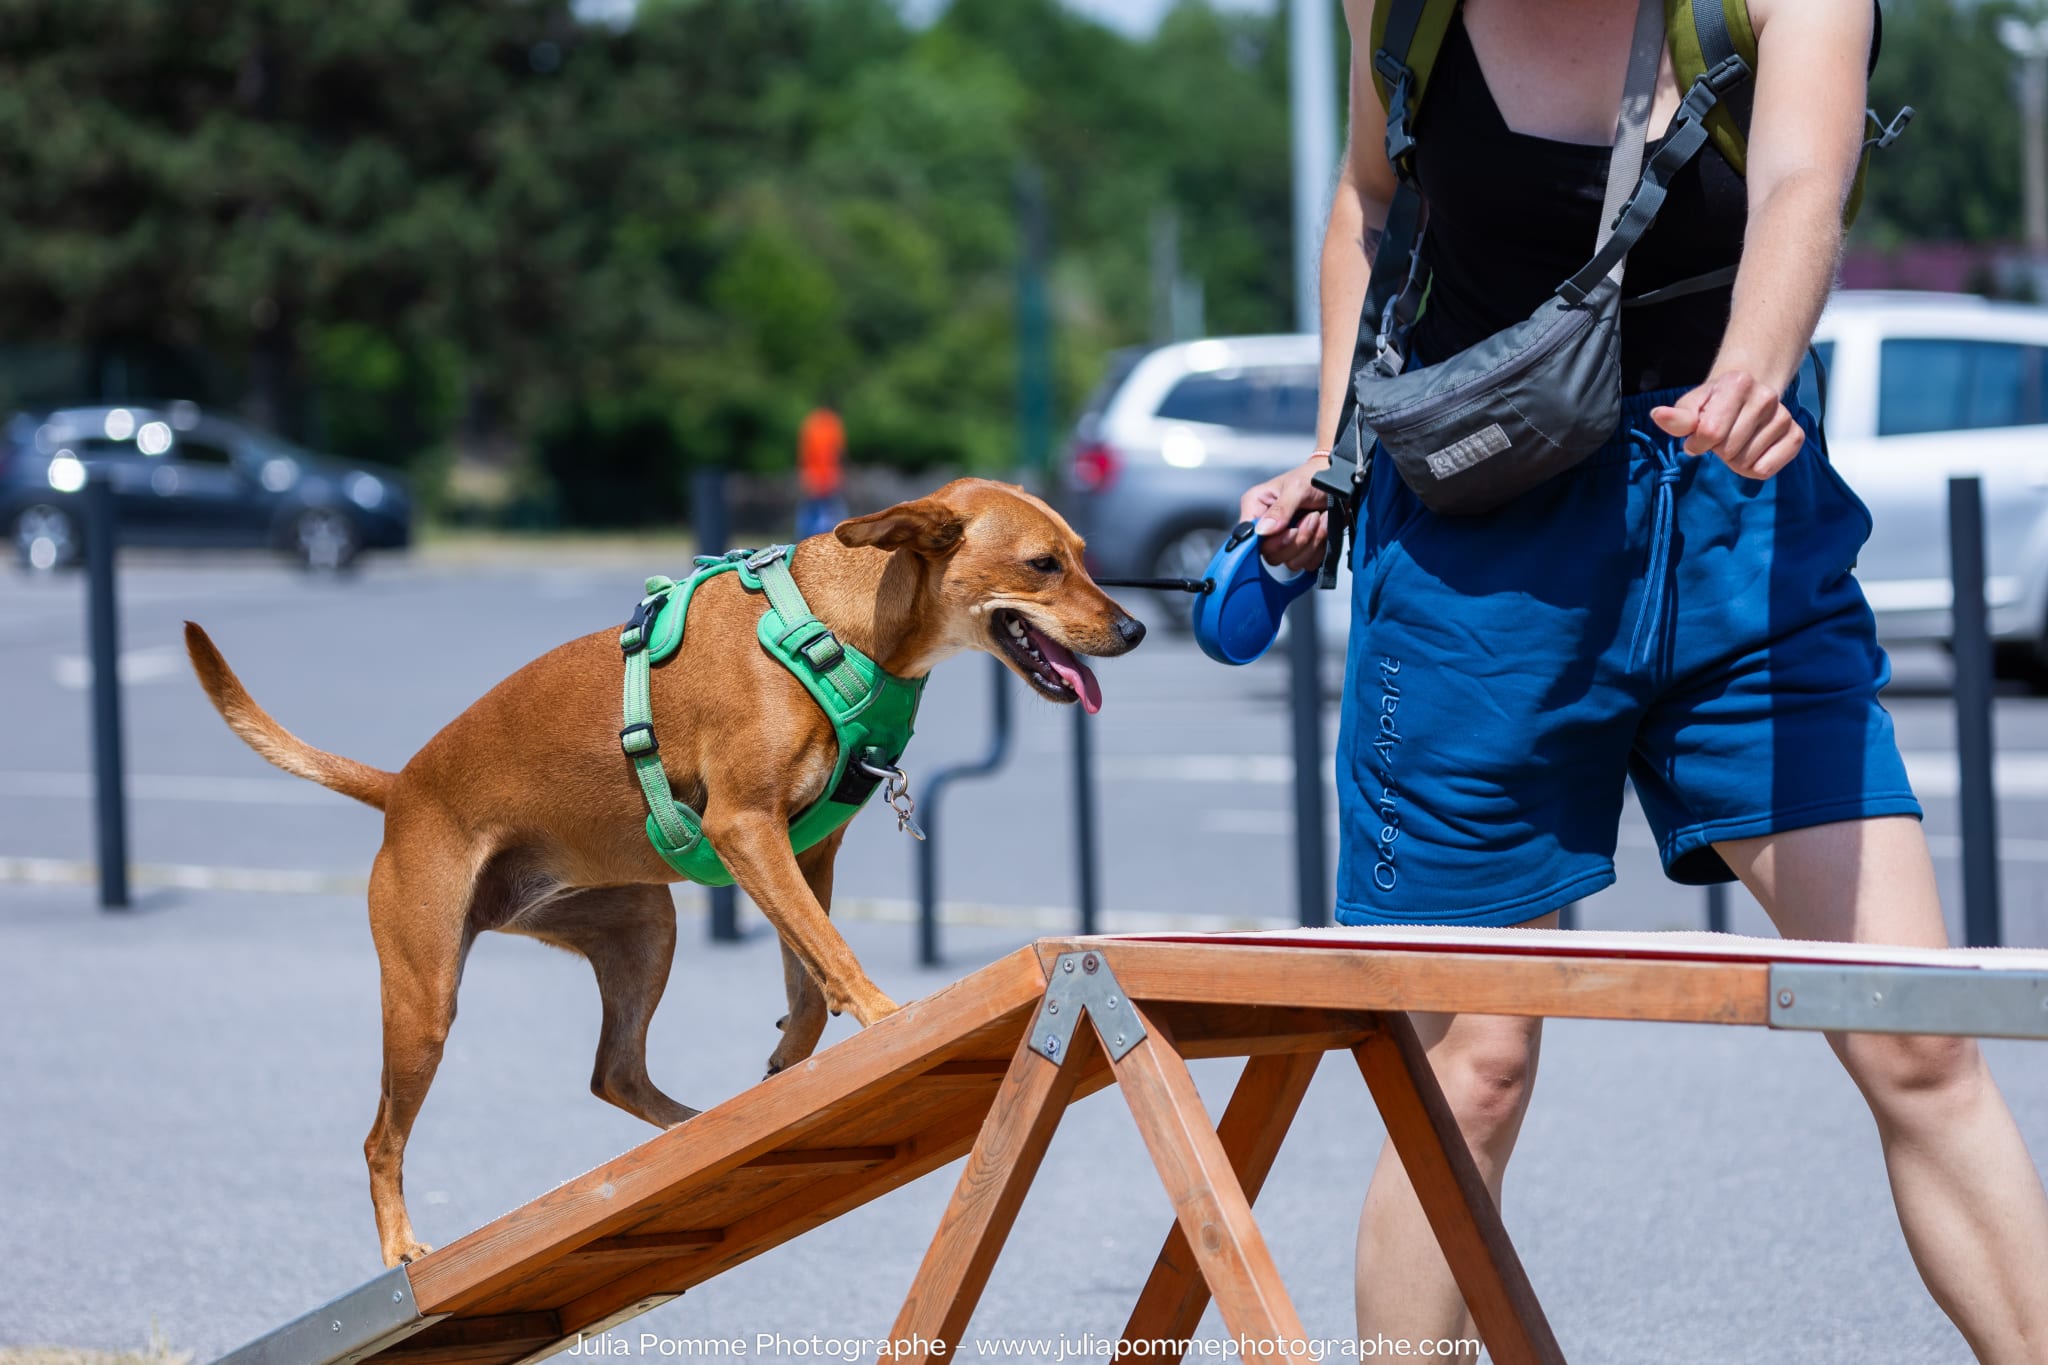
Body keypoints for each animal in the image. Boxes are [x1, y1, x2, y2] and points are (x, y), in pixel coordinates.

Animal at [184, 480, 1146, 1268]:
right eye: (1043, 564)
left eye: (1084, 556)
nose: (1134, 627)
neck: (836, 627)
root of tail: (400, 787)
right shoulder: (746, 828)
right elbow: (833, 954)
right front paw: (885, 1018)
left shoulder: (804, 852)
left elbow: (807, 978)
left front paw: (794, 1066)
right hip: (425, 998)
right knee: (381, 1138)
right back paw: (400, 1245)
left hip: (645, 927)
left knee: (614, 1071)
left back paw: (700, 1129)